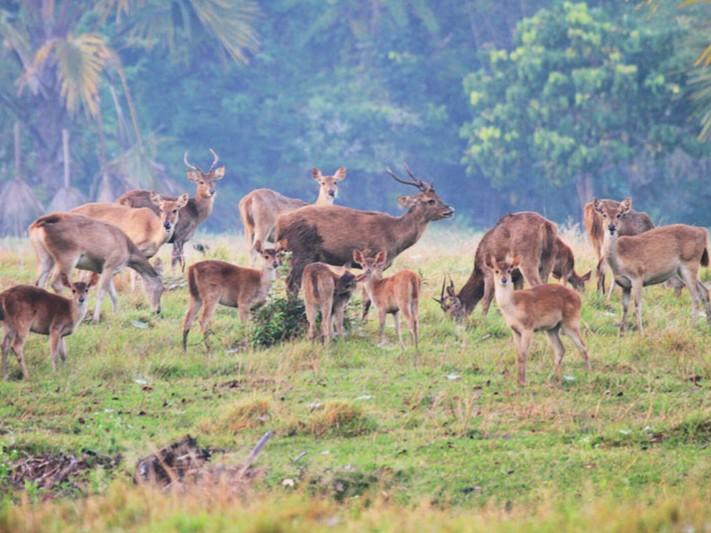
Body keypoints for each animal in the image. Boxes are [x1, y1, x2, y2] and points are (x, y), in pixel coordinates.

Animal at [28, 211, 164, 320]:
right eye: (161, 288)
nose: (157, 311)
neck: (128, 253)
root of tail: (37, 224)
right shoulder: (110, 264)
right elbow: (101, 292)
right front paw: (96, 319)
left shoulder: (106, 270)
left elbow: (114, 295)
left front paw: (116, 315)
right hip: (67, 256)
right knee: (56, 283)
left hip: (44, 255)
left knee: (38, 282)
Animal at [276, 164, 454, 296]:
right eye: (430, 200)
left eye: (439, 197)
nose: (450, 210)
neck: (395, 236)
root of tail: (280, 224)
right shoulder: (376, 259)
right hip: (300, 252)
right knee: (291, 284)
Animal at [490, 255, 588, 384]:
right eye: (496, 270)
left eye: (510, 270)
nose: (504, 280)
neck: (513, 305)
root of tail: (578, 297)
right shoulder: (515, 330)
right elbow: (518, 355)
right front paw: (518, 381)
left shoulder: (528, 328)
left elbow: (524, 354)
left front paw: (523, 382)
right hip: (552, 329)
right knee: (560, 349)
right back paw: (554, 378)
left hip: (570, 323)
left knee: (583, 346)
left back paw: (589, 373)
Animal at [596, 197, 711, 334]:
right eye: (604, 214)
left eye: (619, 214)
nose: (611, 226)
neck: (619, 262)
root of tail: (703, 232)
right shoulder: (624, 284)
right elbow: (624, 306)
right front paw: (621, 333)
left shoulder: (637, 277)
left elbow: (637, 304)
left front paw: (641, 332)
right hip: (683, 270)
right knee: (704, 291)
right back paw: (707, 323)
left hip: (690, 263)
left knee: (695, 297)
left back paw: (692, 327)